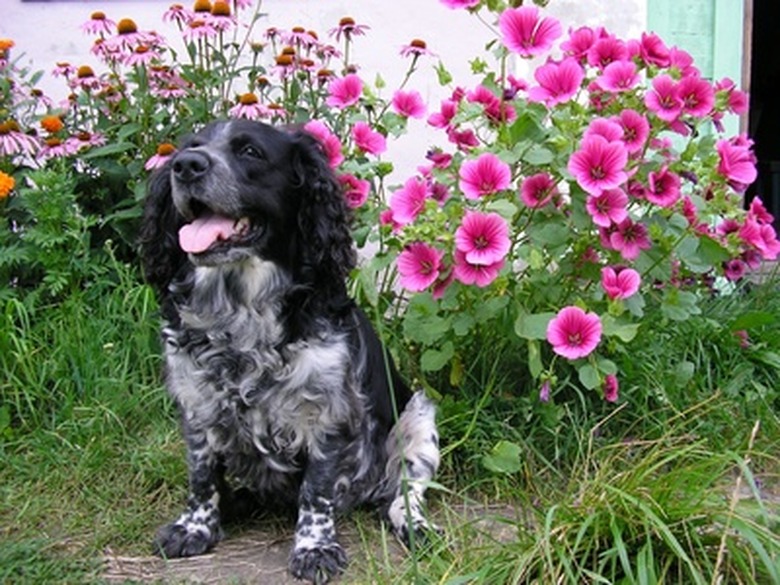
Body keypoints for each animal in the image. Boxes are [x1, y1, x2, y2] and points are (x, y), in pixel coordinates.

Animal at [139, 121, 438, 580]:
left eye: (250, 151)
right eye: (189, 148)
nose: (186, 166)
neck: (241, 311)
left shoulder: (327, 412)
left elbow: (316, 492)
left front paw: (314, 548)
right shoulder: (197, 404)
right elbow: (201, 476)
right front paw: (195, 527)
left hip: (419, 419)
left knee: (404, 493)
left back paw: (414, 524)